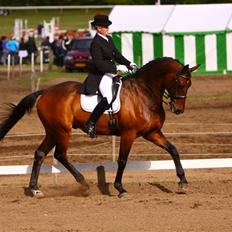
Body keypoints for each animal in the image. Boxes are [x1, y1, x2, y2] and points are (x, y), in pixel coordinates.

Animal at [0, 57, 199, 197]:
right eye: (180, 82)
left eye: (189, 84)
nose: (178, 110)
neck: (144, 92)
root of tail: (45, 92)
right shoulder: (129, 134)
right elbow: (122, 160)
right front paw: (120, 189)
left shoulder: (152, 132)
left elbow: (173, 150)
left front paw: (183, 182)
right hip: (62, 131)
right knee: (60, 155)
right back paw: (83, 184)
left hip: (52, 131)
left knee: (40, 154)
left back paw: (35, 189)